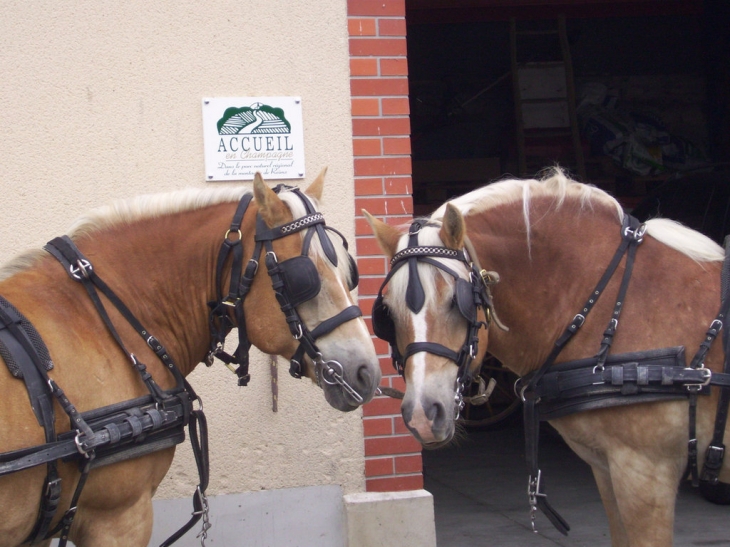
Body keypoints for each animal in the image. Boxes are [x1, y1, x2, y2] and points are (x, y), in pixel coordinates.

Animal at [366, 169, 728, 544]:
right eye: (387, 313)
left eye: (456, 301)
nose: (423, 415)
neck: (614, 304)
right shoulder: (609, 469)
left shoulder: (646, 471)